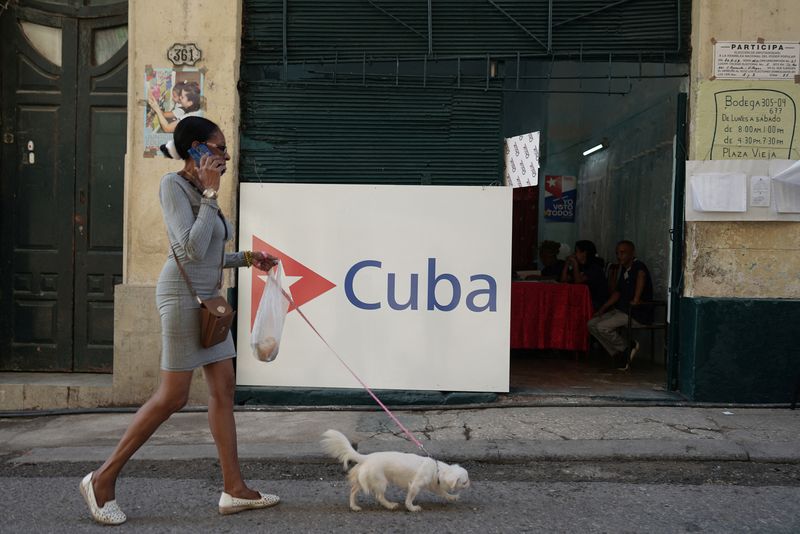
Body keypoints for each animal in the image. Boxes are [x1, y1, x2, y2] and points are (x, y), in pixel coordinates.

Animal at [318, 430, 468, 512]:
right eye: (465, 482)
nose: (470, 484)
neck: (436, 469)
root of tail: (366, 457)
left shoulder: (434, 486)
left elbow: (443, 492)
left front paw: (452, 497)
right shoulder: (415, 486)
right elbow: (409, 499)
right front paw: (412, 508)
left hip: (364, 482)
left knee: (353, 492)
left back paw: (354, 506)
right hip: (381, 482)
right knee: (379, 497)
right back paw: (390, 505)